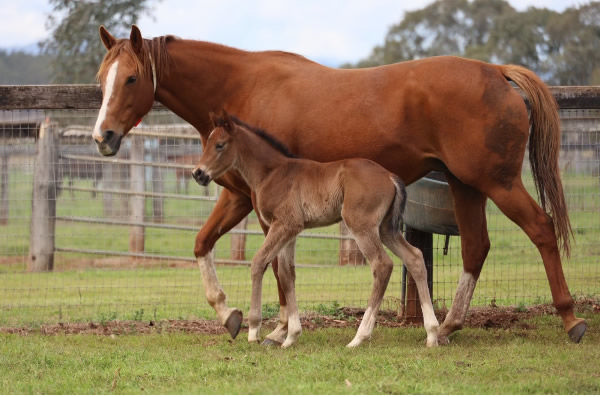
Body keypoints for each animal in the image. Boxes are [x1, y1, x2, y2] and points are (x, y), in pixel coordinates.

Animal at [193, 111, 440, 346]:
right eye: (207, 143)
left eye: (220, 145)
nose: (198, 173)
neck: (272, 173)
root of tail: (389, 176)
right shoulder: (291, 231)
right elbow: (287, 274)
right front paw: (291, 336)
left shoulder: (284, 224)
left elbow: (258, 263)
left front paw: (254, 331)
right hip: (386, 229)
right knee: (415, 257)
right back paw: (432, 334)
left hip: (361, 225)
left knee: (382, 265)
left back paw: (359, 337)